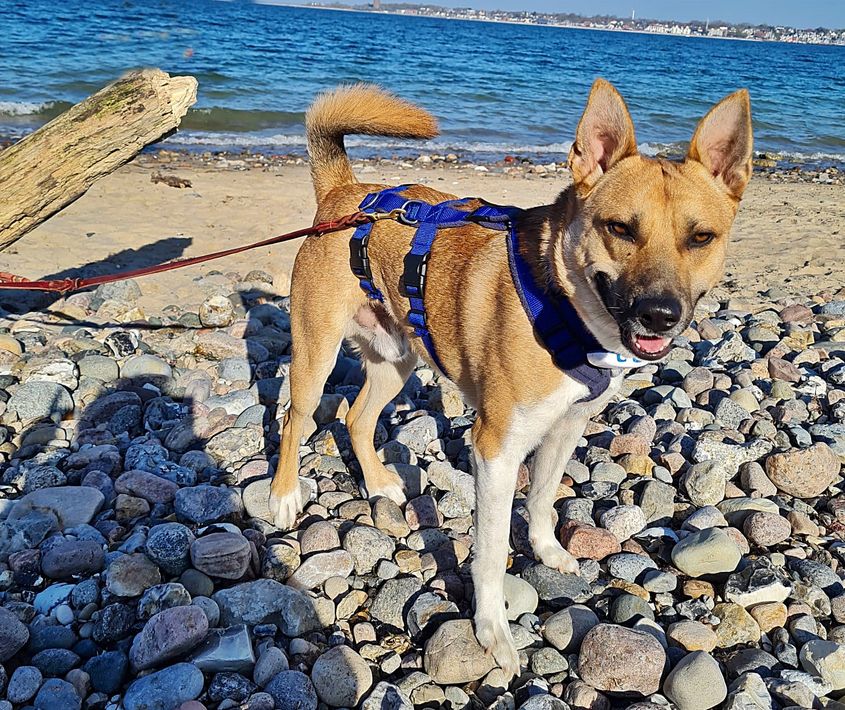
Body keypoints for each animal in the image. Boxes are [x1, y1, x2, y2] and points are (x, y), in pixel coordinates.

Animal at [269, 79, 753, 677]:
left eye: (701, 238)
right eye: (620, 228)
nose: (659, 315)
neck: (566, 305)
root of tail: (346, 193)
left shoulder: (566, 427)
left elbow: (543, 498)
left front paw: (547, 551)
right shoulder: (495, 449)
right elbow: (493, 551)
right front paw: (492, 629)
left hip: (397, 358)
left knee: (357, 416)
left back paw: (380, 482)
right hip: (317, 353)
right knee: (296, 419)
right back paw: (284, 497)